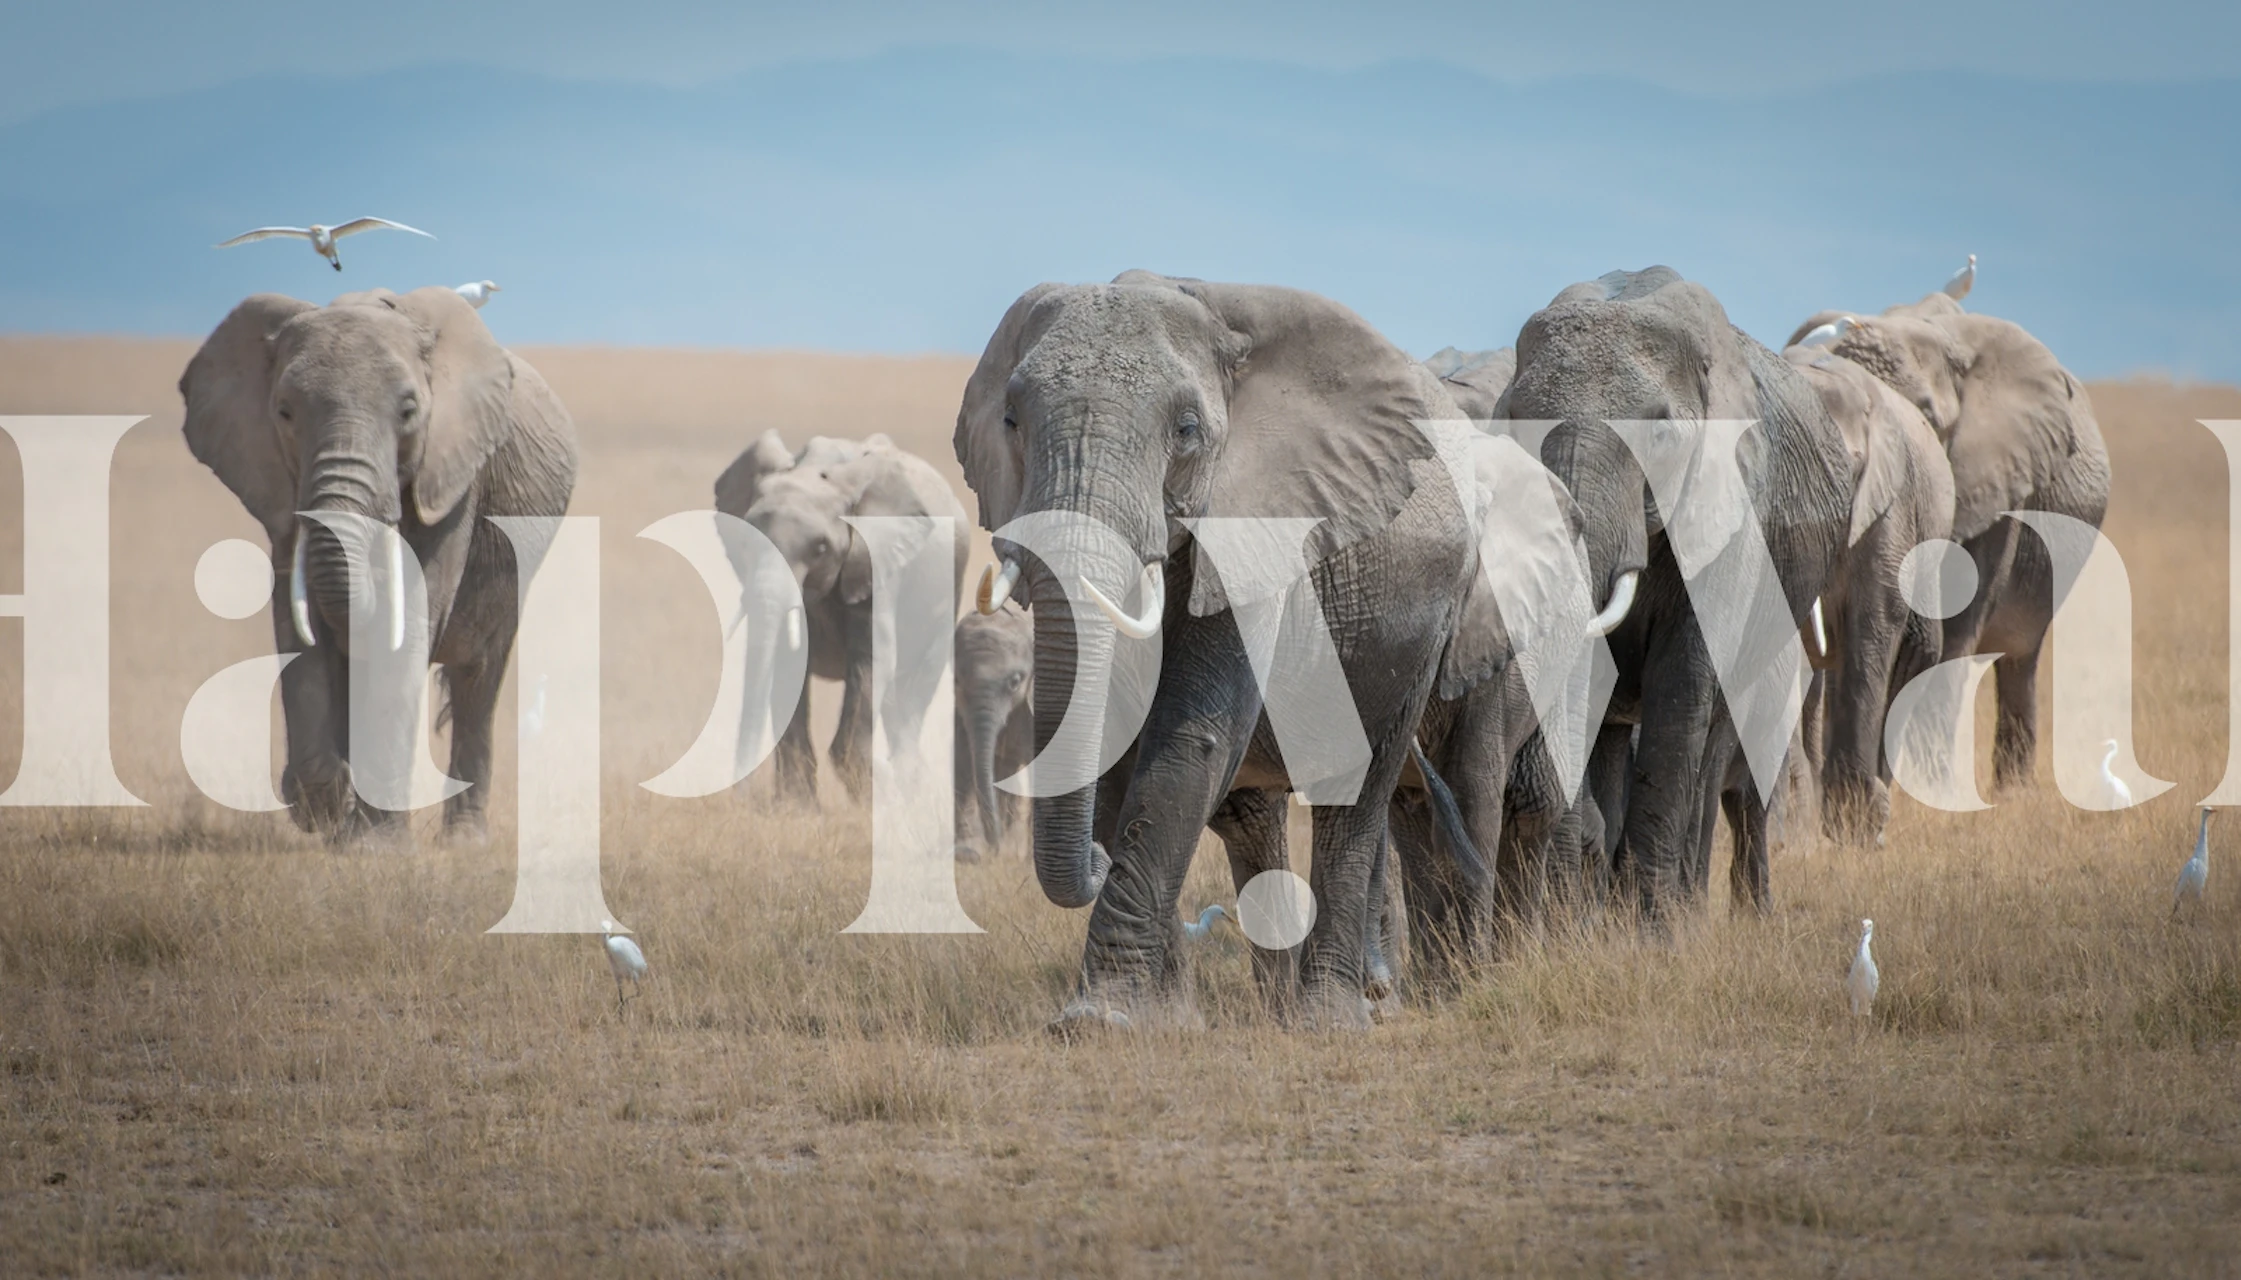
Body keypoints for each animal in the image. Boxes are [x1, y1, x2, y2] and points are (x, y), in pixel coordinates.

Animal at [179, 287, 579, 843]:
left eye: (409, 410)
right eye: (284, 412)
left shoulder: (452, 477)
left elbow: (408, 620)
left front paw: (373, 845)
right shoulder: (279, 486)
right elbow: (298, 627)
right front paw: (322, 804)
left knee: (479, 678)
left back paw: (463, 841)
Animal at [713, 431, 968, 804]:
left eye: (820, 549)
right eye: (746, 542)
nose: (739, 800)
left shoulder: (878, 562)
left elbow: (873, 659)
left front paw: (871, 801)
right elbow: (788, 663)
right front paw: (798, 808)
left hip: (950, 588)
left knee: (915, 689)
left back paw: (911, 793)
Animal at [1497, 268, 1852, 917]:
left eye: (1661, 435)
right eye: (1514, 421)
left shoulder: (1737, 510)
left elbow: (1684, 681)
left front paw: (1654, 931)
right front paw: (1577, 924)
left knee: (1715, 744)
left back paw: (1690, 908)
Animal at [1788, 294, 2109, 789]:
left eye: (1927, 420)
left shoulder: (2001, 486)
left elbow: (1954, 633)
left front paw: (1931, 792)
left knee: (2019, 658)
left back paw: (2013, 793)